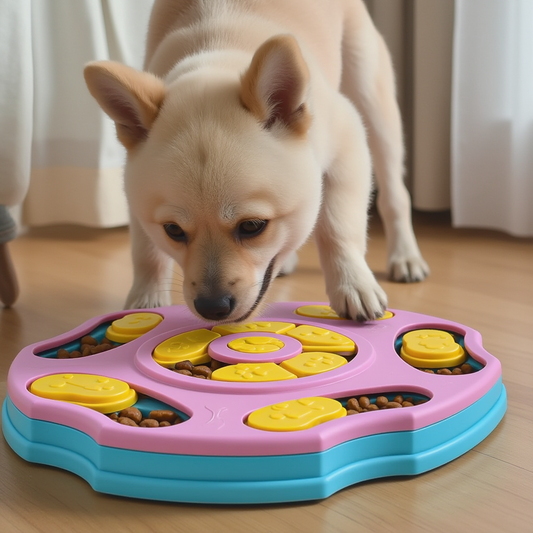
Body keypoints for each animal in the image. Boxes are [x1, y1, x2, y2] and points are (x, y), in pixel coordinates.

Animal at [84, 0, 428, 322]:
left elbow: (337, 228)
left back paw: (405, 256)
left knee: (395, 194)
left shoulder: (348, 145)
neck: (217, 56)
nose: (212, 307)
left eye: (252, 227)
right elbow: (146, 252)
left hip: (374, 105)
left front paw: (352, 284)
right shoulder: (135, 191)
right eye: (173, 231)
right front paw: (145, 301)